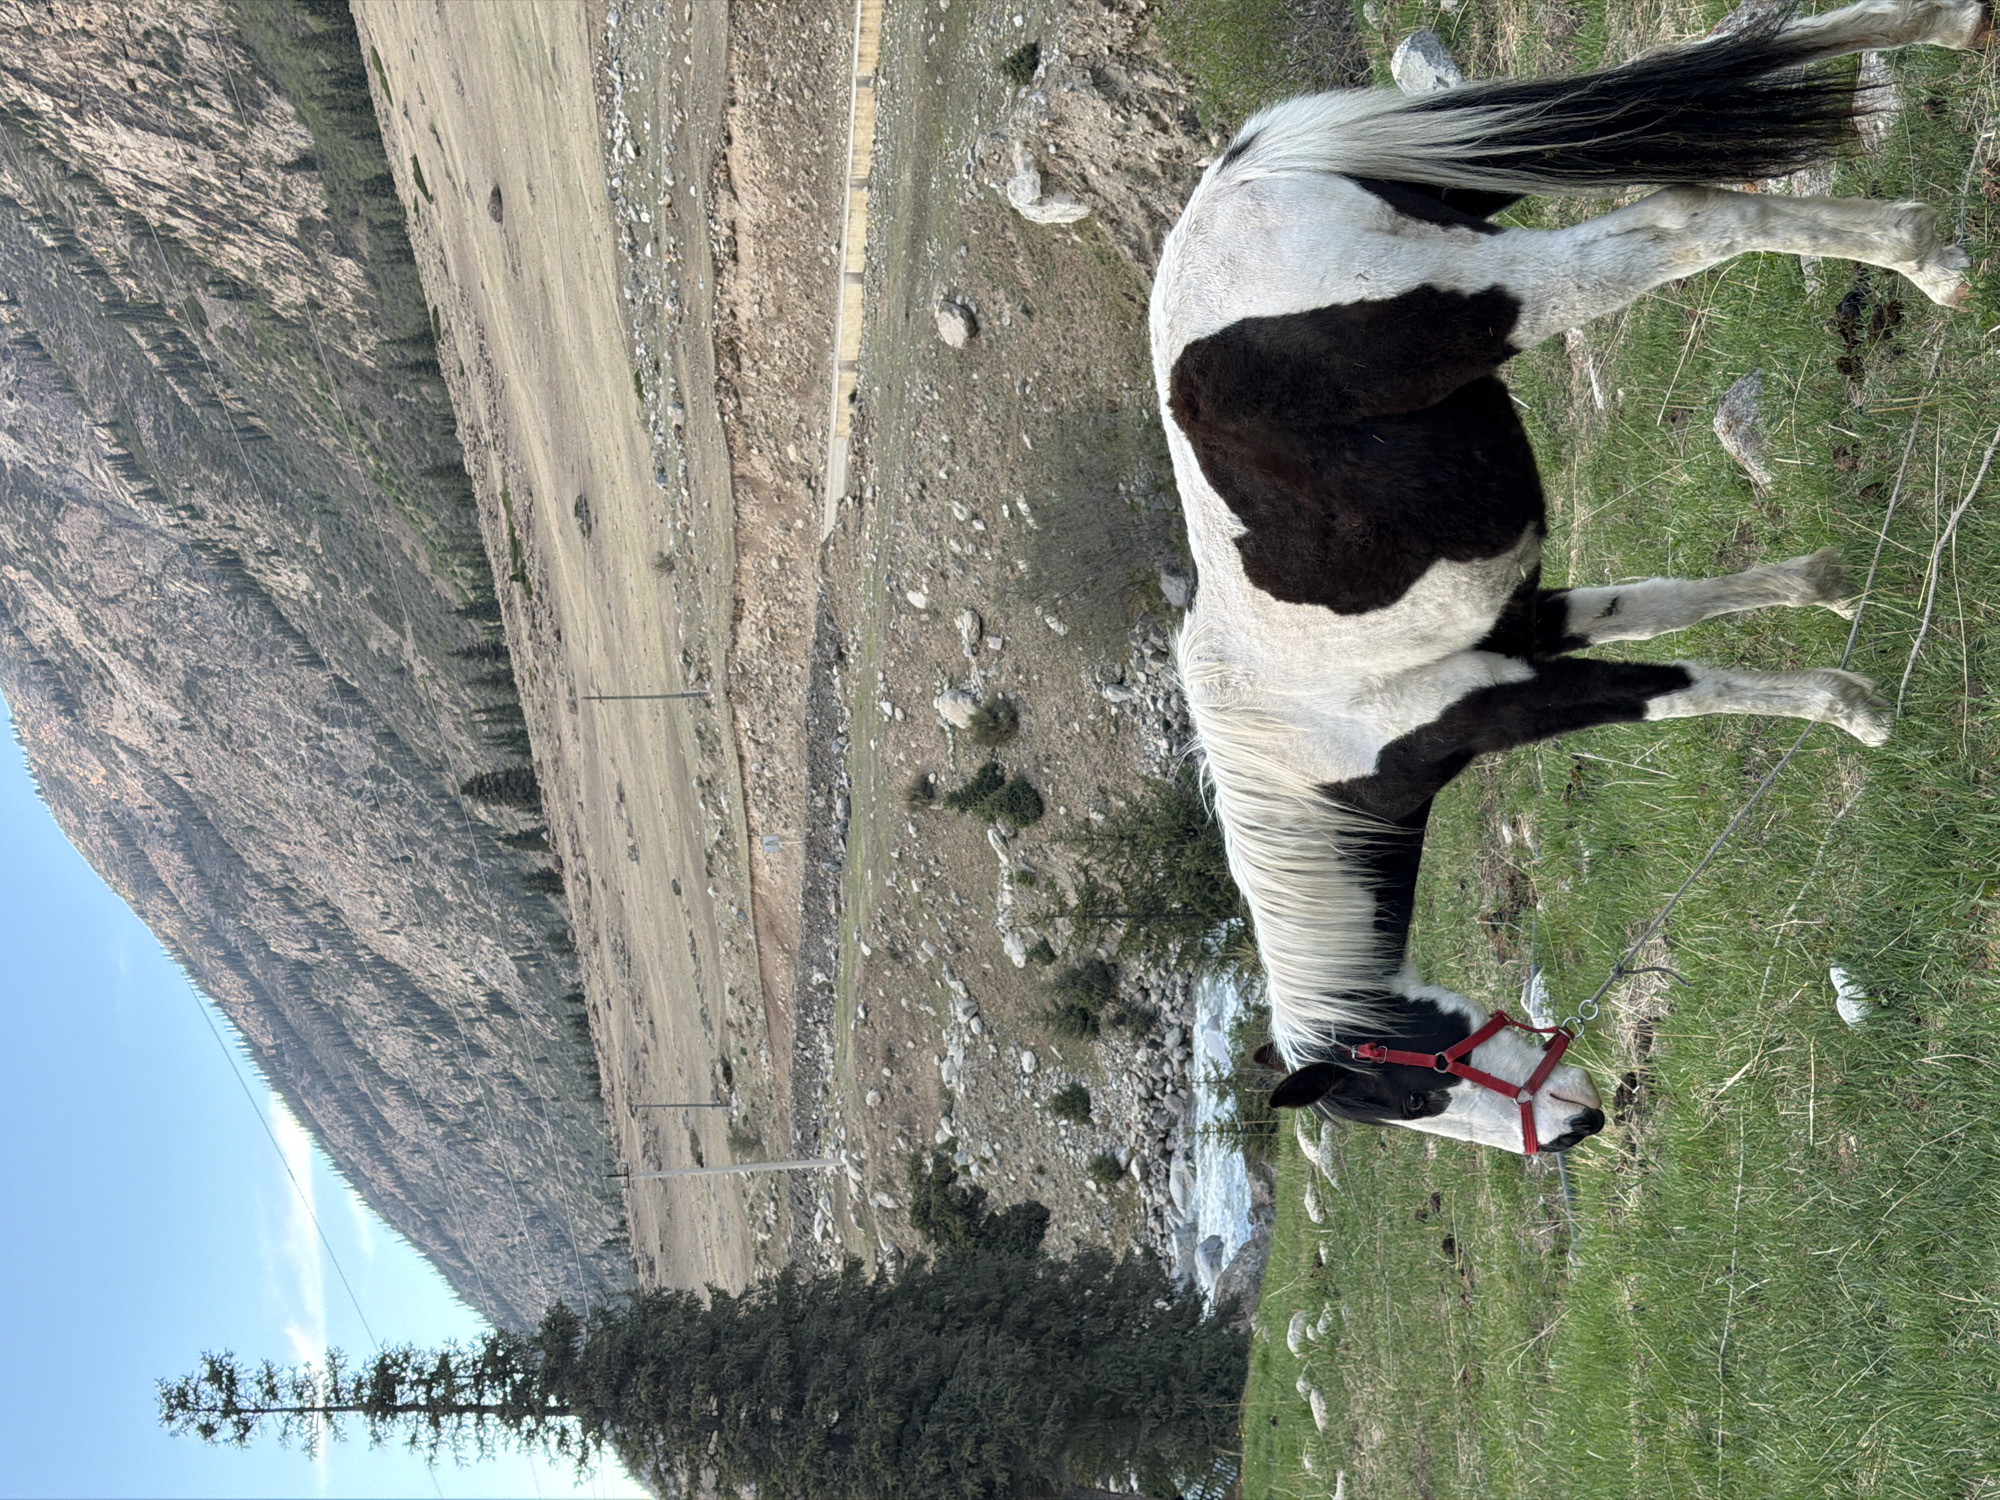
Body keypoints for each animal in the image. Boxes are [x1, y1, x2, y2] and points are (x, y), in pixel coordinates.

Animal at [1150, 0, 1985, 1155]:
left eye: (1412, 1092)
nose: (1582, 1125)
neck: (1298, 741)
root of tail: (1237, 186)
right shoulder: (1528, 624)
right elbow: (1667, 607)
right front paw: (1821, 587)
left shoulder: (1504, 700)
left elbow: (1680, 689)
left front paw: (1848, 710)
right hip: (1478, 176)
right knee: (1710, 83)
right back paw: (1944, 38)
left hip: (1499, 291)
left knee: (1681, 220)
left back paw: (1923, 255)